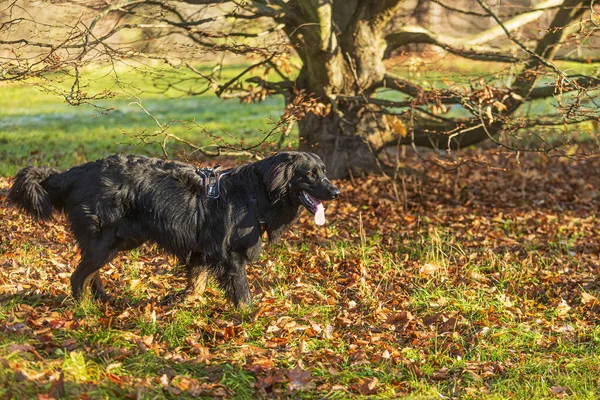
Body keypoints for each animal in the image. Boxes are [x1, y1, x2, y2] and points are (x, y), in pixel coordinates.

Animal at [9, 151, 340, 306]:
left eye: (325, 171)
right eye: (310, 174)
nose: (336, 191)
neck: (256, 193)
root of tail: (75, 172)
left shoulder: (203, 250)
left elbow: (197, 284)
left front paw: (181, 300)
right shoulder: (229, 255)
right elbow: (242, 294)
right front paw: (249, 316)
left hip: (119, 241)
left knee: (90, 273)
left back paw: (102, 300)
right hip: (104, 240)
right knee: (78, 277)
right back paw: (85, 310)